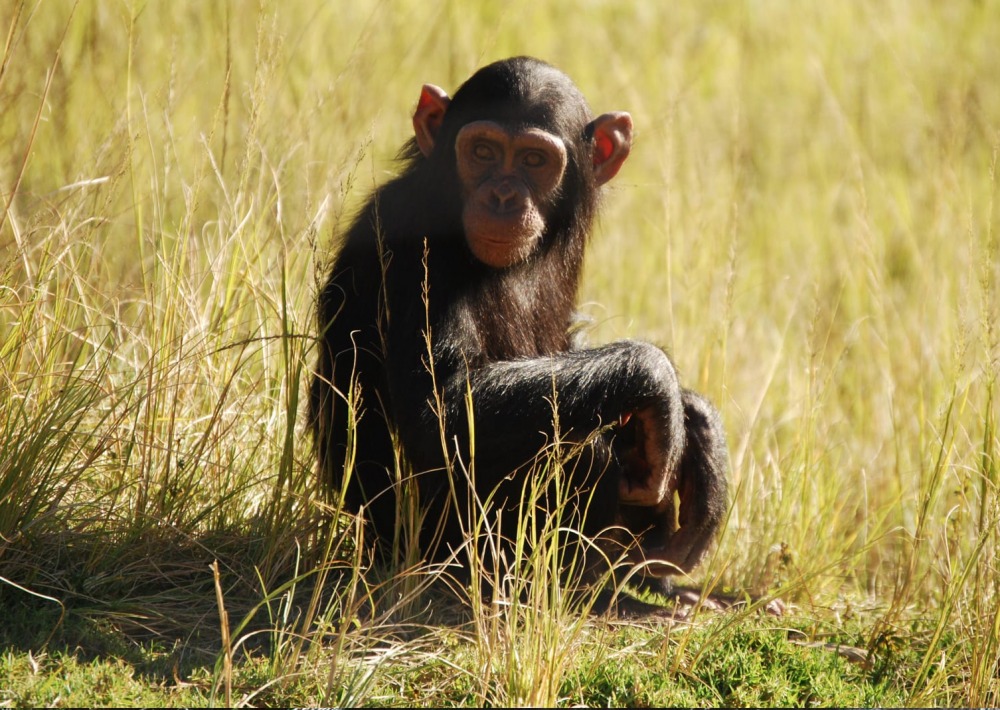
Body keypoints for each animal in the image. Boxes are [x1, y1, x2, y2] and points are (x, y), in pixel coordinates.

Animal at [310, 57, 728, 612]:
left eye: (534, 160)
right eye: (483, 151)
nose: (503, 195)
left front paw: (699, 426)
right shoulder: (410, 247)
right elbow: (440, 410)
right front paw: (659, 380)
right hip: (437, 546)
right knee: (581, 447)